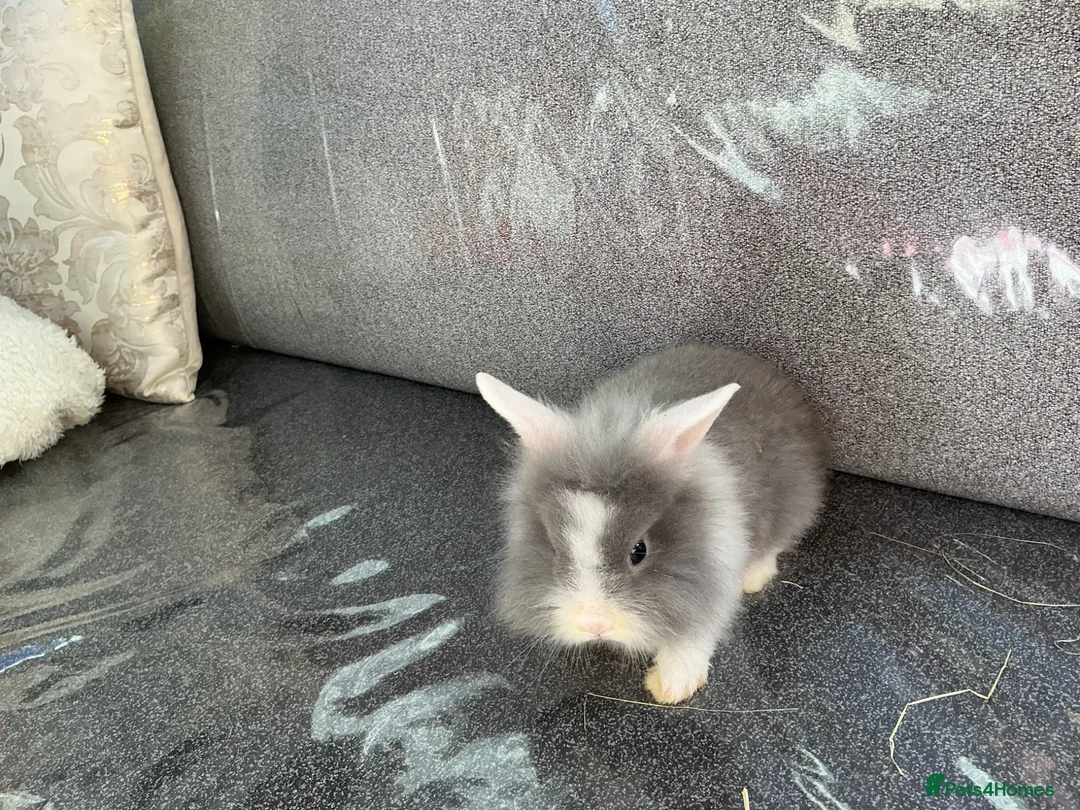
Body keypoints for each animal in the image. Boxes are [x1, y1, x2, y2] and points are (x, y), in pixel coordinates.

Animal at [475, 343, 829, 704]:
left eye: (639, 551)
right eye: (555, 549)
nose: (594, 624)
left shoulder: (710, 578)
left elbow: (695, 634)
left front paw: (671, 685)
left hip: (793, 498)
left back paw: (754, 577)